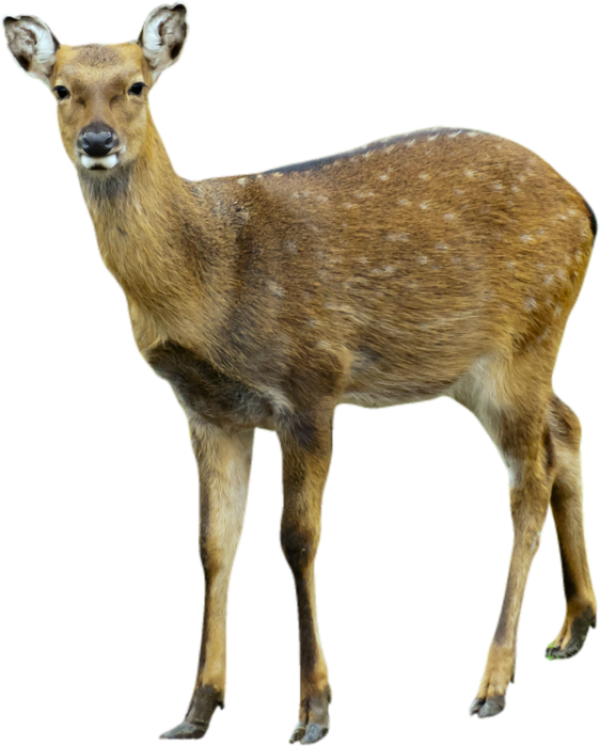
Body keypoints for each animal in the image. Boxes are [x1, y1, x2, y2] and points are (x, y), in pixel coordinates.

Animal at [2, 2, 597, 741]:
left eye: (138, 85)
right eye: (61, 89)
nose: (97, 139)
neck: (211, 280)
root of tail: (585, 208)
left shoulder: (311, 381)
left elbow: (297, 538)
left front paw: (313, 711)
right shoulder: (209, 410)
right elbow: (214, 543)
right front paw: (196, 711)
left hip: (525, 336)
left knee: (528, 482)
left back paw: (492, 684)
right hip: (490, 363)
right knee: (566, 425)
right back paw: (573, 629)